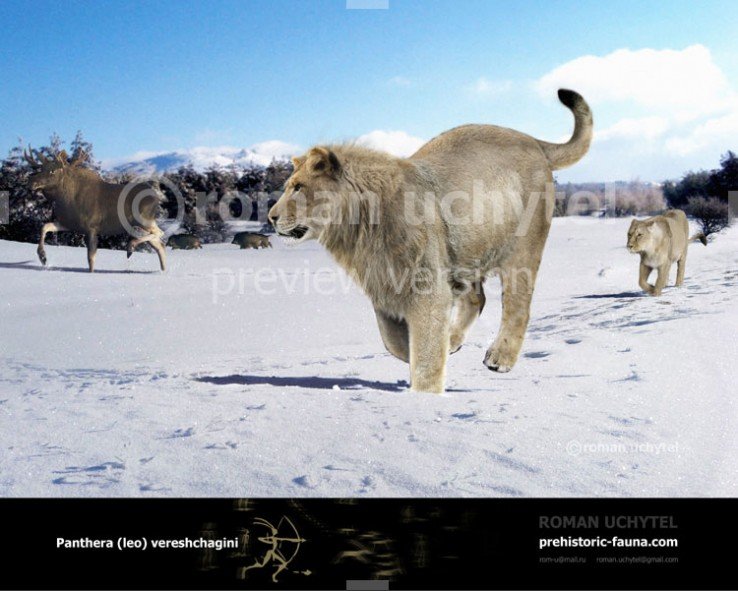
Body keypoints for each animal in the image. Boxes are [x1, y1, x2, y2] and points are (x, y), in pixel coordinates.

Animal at [268, 89, 593, 392]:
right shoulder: (384, 290)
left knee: (517, 307)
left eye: (298, 188)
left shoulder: (427, 288)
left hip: (521, 253)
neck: (358, 231)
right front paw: (421, 360)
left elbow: (424, 348)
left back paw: (499, 358)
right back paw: (453, 340)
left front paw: (425, 393)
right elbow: (394, 342)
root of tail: (532, 140)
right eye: (289, 186)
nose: (271, 217)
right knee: (477, 298)